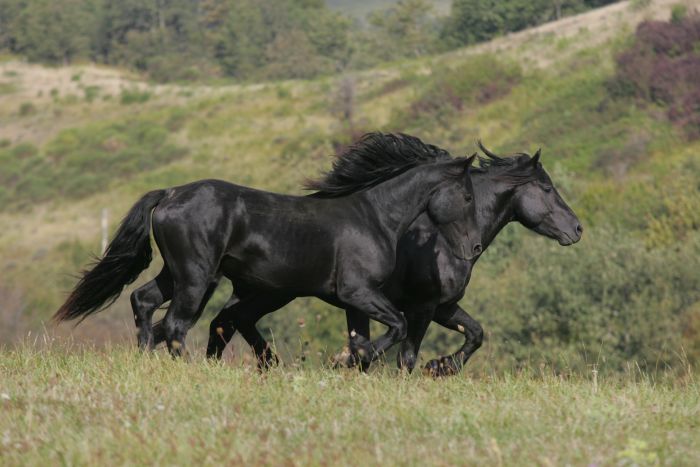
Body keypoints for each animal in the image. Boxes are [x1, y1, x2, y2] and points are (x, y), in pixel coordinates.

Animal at [54, 135, 484, 362]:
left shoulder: (356, 301)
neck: (375, 216)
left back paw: (146, 360)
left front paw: (351, 362)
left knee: (143, 302)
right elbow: (396, 327)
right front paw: (347, 360)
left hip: (176, 274)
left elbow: (367, 337)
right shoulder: (357, 292)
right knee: (176, 324)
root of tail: (170, 193)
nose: (474, 246)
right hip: (196, 278)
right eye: (466, 195)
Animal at [201, 134, 580, 372]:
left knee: (228, 321)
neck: (444, 241)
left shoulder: (443, 307)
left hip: (262, 291)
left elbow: (476, 333)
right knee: (232, 321)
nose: (577, 229)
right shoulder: (422, 306)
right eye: (547, 188)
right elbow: (406, 357)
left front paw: (442, 366)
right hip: (275, 291)